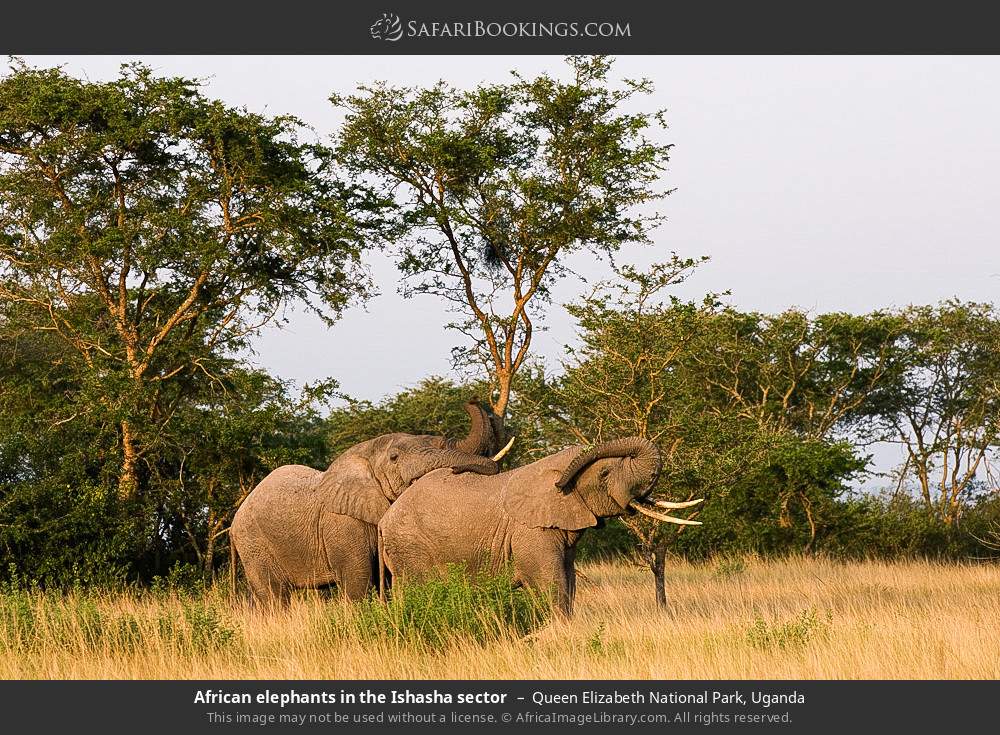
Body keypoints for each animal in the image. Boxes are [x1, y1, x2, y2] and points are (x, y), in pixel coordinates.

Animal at [231, 399, 509, 605]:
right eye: (395, 458)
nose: (471, 400)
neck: (365, 452)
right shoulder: (342, 524)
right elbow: (358, 580)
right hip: (253, 544)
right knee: (274, 596)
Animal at [378, 437, 703, 616]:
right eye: (605, 473)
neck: (553, 469)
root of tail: (384, 520)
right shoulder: (530, 532)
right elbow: (552, 584)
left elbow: (568, 584)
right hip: (411, 547)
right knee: (420, 592)